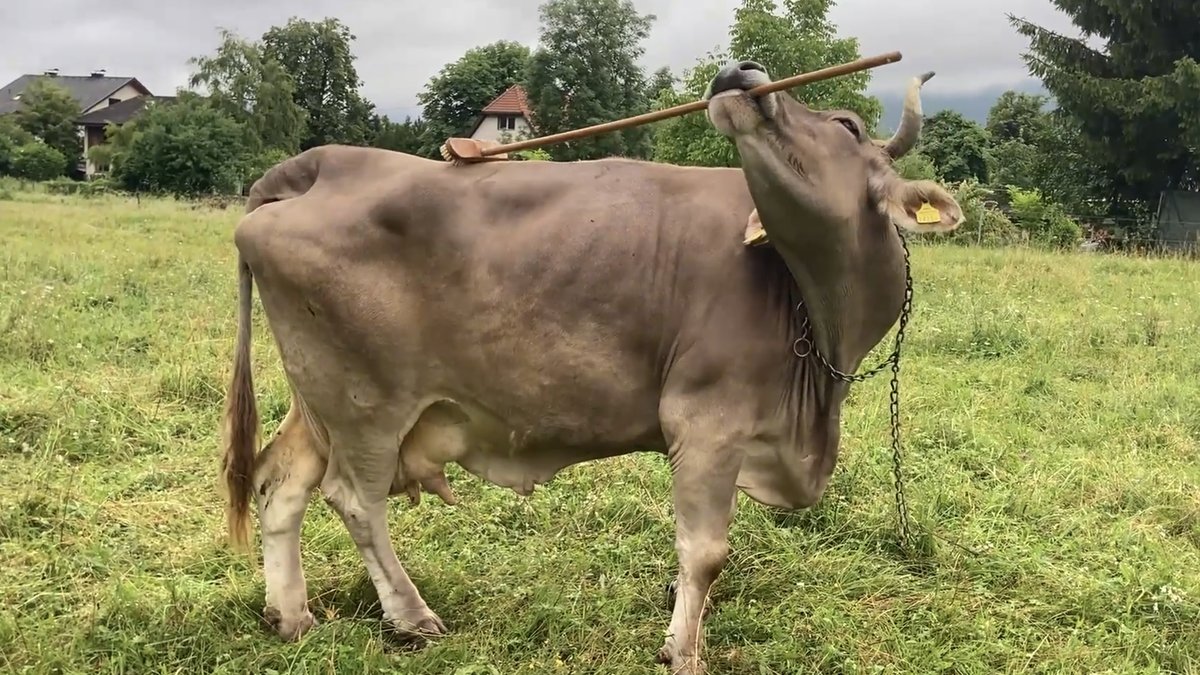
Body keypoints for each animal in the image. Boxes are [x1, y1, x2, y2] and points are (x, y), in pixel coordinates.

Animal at [220, 60, 964, 674]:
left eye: (846, 125)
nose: (739, 71)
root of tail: (323, 162)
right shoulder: (707, 420)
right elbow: (705, 550)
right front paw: (683, 651)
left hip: (317, 398)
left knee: (280, 481)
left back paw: (291, 615)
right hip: (365, 402)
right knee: (353, 498)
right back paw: (411, 616)